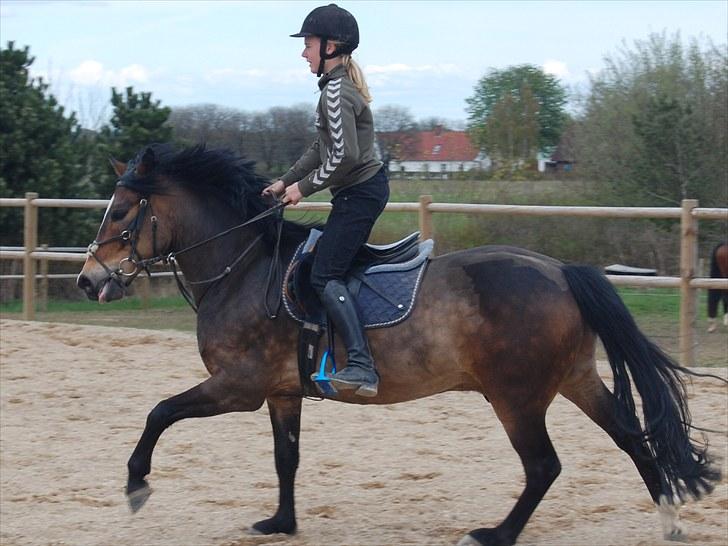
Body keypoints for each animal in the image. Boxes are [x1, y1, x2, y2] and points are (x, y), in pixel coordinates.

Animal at [76, 144, 721, 546]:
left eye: (123, 211)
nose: (88, 280)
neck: (241, 269)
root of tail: (561, 270)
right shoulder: (282, 393)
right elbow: (286, 458)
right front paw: (281, 523)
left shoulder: (238, 386)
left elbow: (160, 411)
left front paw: (136, 483)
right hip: (574, 379)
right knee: (632, 438)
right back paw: (668, 521)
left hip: (516, 397)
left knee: (544, 465)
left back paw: (495, 534)